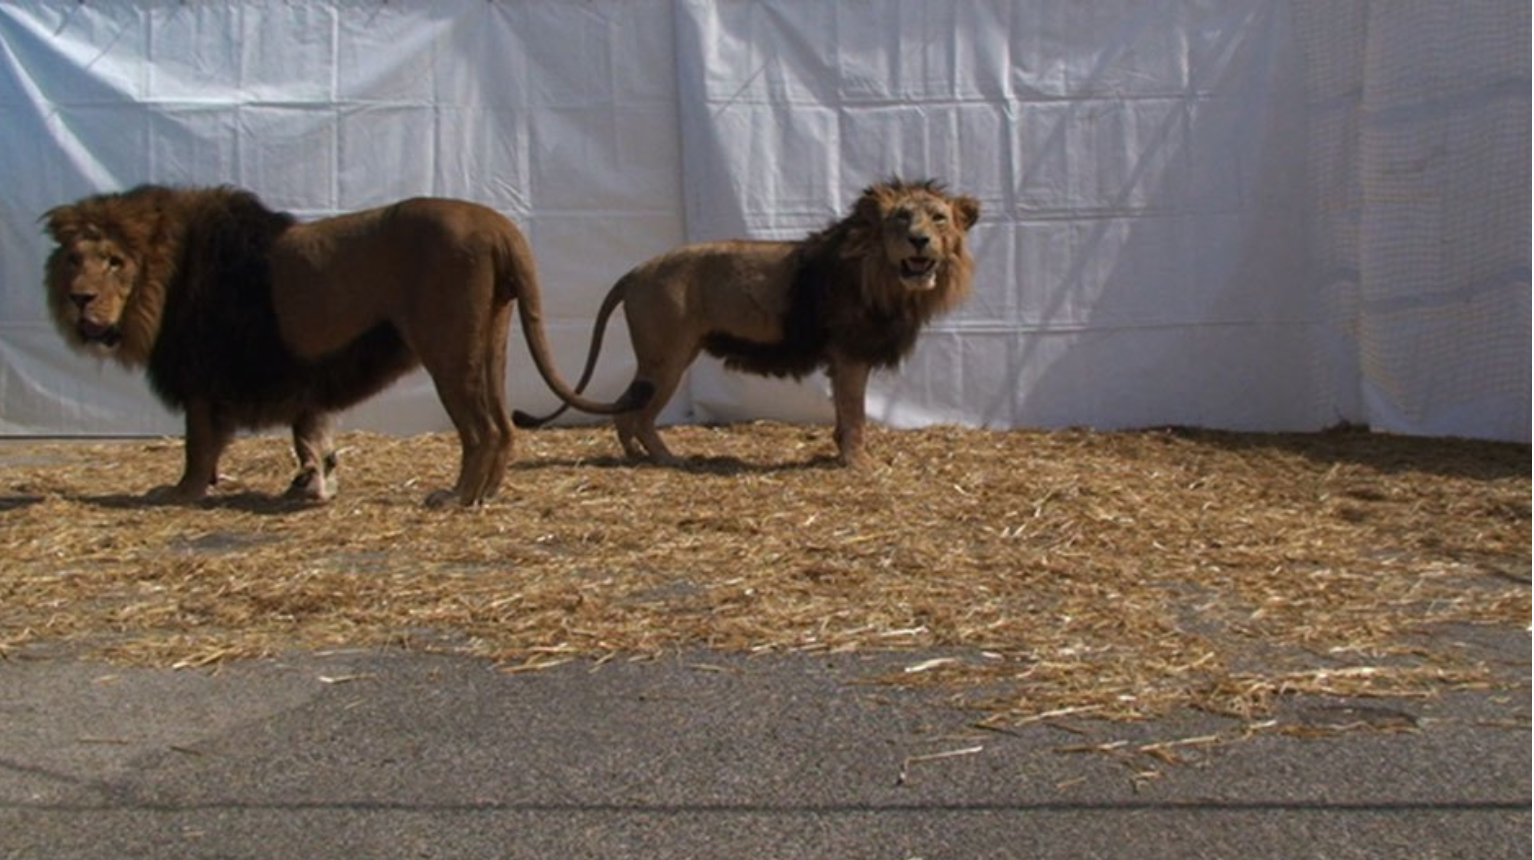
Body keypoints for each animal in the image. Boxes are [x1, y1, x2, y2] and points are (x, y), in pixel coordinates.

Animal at [40, 182, 653, 502]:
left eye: (114, 261)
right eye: (73, 259)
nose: (79, 299)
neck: (164, 277)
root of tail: (499, 225)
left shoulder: (202, 377)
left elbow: (199, 444)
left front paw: (182, 493)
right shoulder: (299, 378)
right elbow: (308, 435)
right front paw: (310, 484)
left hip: (448, 346)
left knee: (481, 429)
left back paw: (455, 499)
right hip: (493, 336)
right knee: (502, 426)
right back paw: (483, 495)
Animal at [509, 177, 975, 466]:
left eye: (939, 217)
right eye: (901, 218)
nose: (919, 241)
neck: (886, 278)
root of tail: (636, 270)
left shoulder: (842, 360)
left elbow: (844, 416)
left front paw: (841, 452)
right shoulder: (849, 355)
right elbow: (855, 414)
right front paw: (857, 463)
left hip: (667, 357)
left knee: (625, 412)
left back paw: (637, 459)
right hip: (666, 359)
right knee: (637, 415)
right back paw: (668, 459)